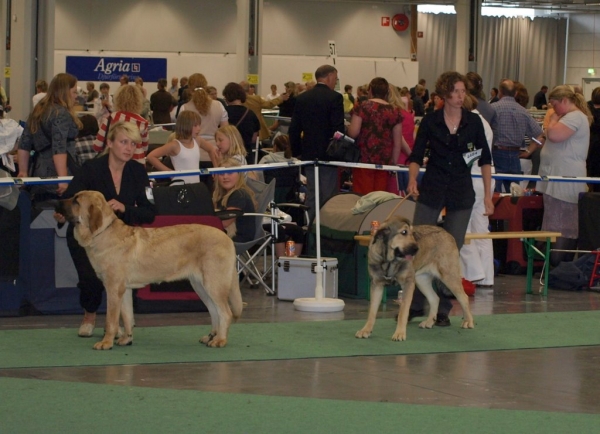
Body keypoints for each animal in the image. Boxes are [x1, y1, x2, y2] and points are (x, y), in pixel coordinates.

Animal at [58, 190, 241, 350]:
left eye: (76, 201)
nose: (56, 202)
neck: (103, 232)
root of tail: (227, 238)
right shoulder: (124, 290)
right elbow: (127, 316)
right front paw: (126, 339)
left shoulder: (113, 288)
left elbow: (111, 320)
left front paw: (106, 343)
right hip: (200, 286)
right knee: (214, 312)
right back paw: (211, 336)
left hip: (213, 284)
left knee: (225, 313)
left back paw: (220, 340)